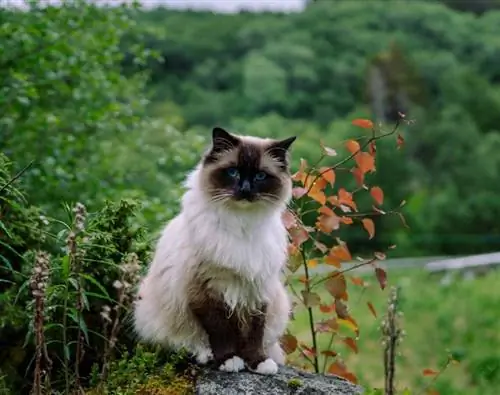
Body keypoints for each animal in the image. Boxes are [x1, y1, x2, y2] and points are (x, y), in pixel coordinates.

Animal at [133, 127, 296, 378]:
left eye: (260, 176)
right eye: (232, 172)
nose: (245, 190)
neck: (242, 224)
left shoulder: (256, 290)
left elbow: (254, 334)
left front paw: (258, 363)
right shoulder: (206, 290)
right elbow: (221, 330)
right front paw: (229, 361)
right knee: (184, 342)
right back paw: (205, 354)